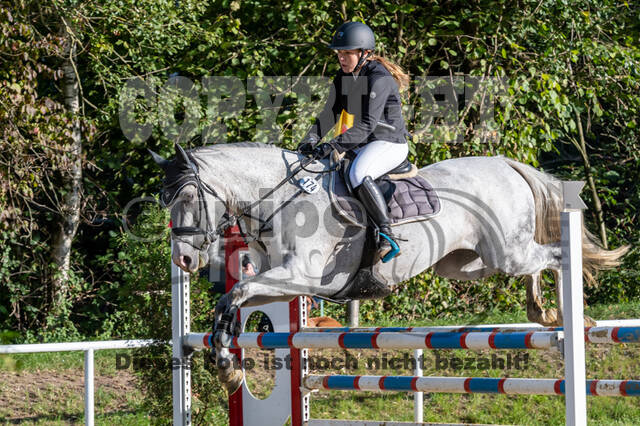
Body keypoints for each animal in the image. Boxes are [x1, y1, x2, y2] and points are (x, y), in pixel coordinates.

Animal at [150, 141, 624, 394]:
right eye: (165, 200)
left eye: (188, 197)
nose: (184, 260)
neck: (281, 199)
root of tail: (505, 164)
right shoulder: (285, 284)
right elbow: (231, 301)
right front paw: (228, 368)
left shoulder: (303, 277)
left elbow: (235, 293)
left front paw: (227, 369)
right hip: (469, 264)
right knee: (536, 262)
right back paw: (542, 311)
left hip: (505, 252)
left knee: (557, 255)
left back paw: (565, 319)